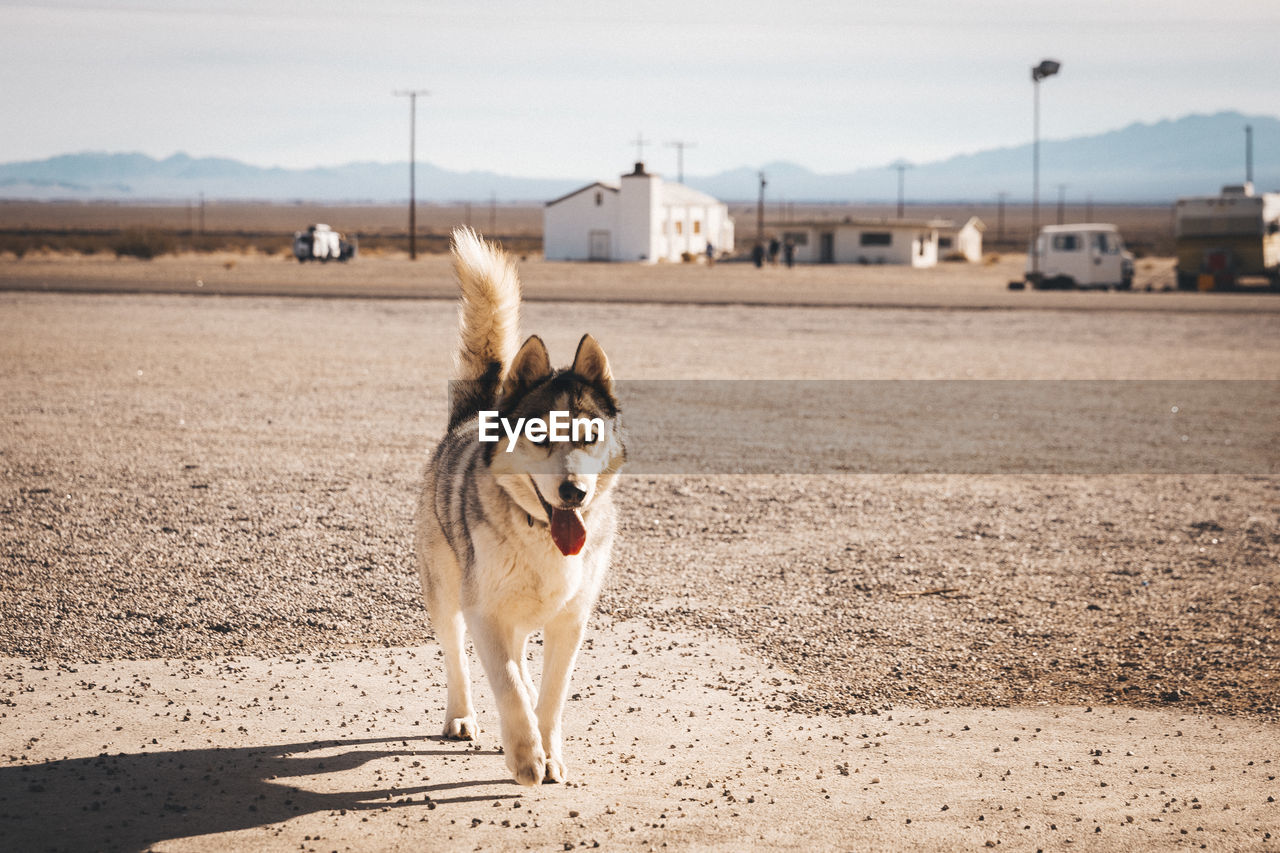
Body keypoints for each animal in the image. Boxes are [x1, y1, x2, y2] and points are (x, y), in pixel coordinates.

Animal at [414, 225, 624, 783]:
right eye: (540, 435)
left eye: (589, 435)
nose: (573, 492)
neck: (540, 534)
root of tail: (474, 415)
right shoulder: (484, 611)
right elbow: (505, 684)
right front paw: (526, 755)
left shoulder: (570, 621)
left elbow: (552, 694)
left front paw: (548, 751)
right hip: (445, 594)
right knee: (457, 659)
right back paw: (461, 716)